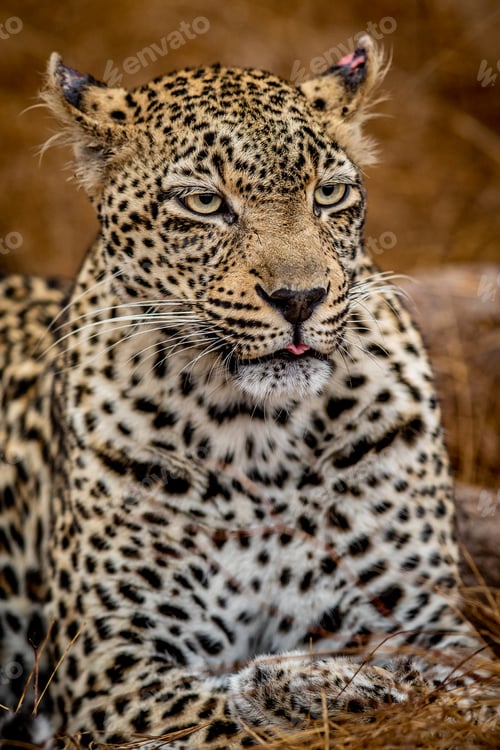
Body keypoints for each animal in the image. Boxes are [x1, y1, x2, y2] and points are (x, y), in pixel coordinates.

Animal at [0, 35, 494, 747]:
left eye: (330, 193)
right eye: (204, 203)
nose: (300, 298)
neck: (260, 433)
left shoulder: (425, 617)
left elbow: (472, 691)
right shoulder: (107, 659)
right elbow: (217, 720)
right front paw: (301, 688)